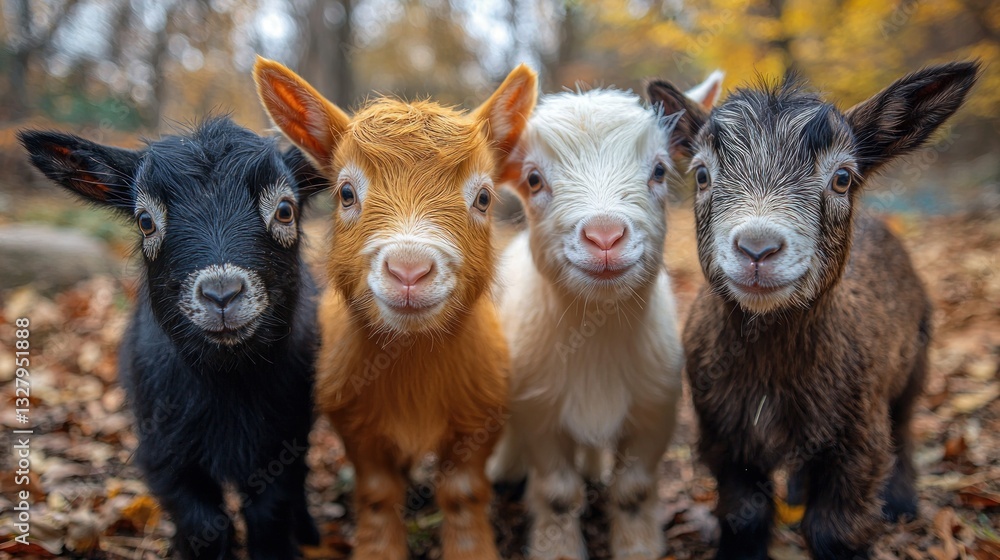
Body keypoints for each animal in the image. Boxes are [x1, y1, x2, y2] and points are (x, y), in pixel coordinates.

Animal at [19, 118, 326, 560]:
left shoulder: (281, 442)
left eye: (285, 210)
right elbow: (204, 524)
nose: (222, 295)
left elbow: (269, 516)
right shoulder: (163, 454)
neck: (225, 383)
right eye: (146, 221)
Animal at [252, 57, 537, 560]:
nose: (409, 269)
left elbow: (463, 493)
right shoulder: (355, 424)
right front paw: (378, 549)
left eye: (483, 198)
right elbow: (378, 494)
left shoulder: (479, 416)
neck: (411, 363)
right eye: (346, 193)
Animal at [487, 72, 723, 560]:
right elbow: (558, 493)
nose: (605, 236)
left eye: (658, 170)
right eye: (534, 179)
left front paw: (638, 547)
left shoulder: (655, 408)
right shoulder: (538, 410)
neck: (595, 334)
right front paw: (557, 548)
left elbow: (633, 489)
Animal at [647, 61, 980, 559]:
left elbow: (835, 530)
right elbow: (743, 515)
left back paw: (901, 503)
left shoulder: (859, 441)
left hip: (915, 362)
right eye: (702, 174)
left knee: (903, 427)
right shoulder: (723, 438)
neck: (771, 368)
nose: (757, 249)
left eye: (842, 178)